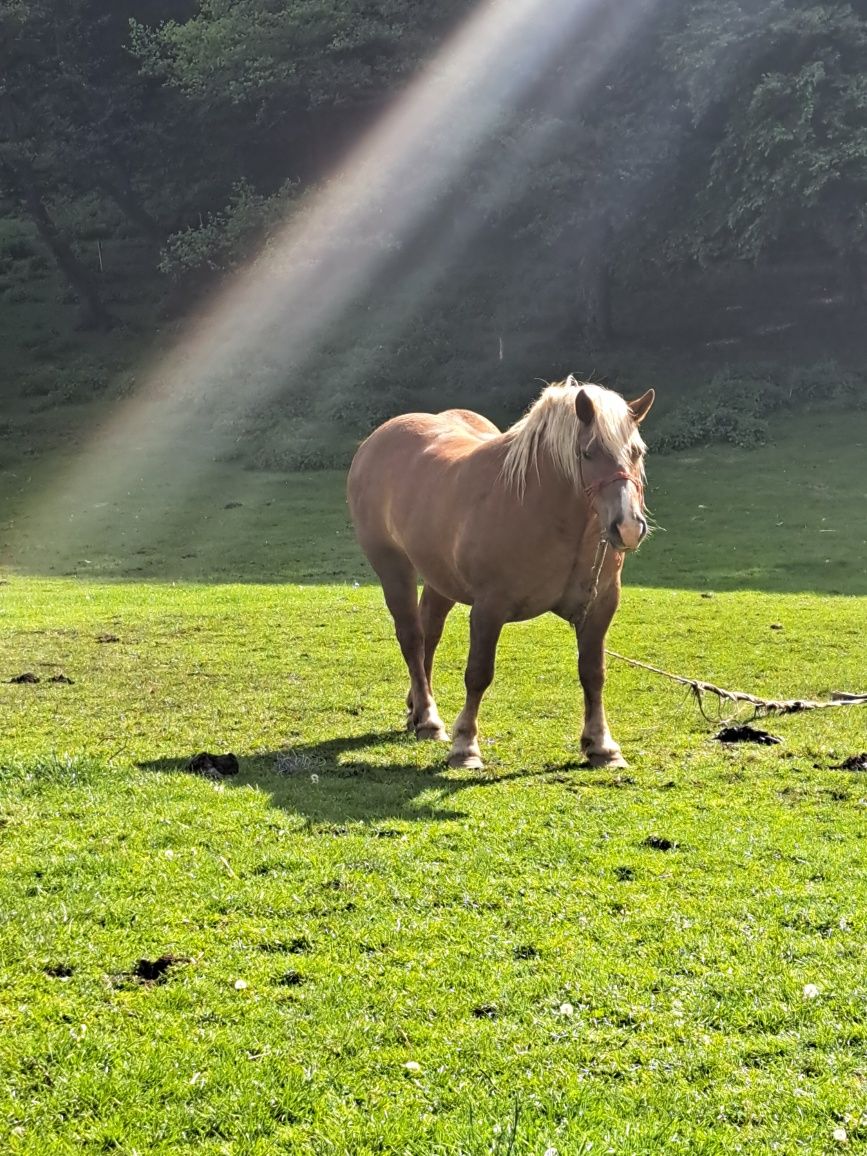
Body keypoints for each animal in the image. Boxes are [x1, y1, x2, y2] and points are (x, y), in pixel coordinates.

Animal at [346, 379, 651, 772]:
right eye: (588, 453)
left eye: (637, 452)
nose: (628, 527)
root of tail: (376, 441)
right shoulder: (488, 609)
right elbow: (478, 674)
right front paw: (465, 746)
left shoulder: (599, 608)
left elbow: (593, 673)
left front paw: (601, 745)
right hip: (393, 568)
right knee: (412, 638)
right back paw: (428, 718)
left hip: (440, 578)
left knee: (429, 633)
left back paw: (417, 709)